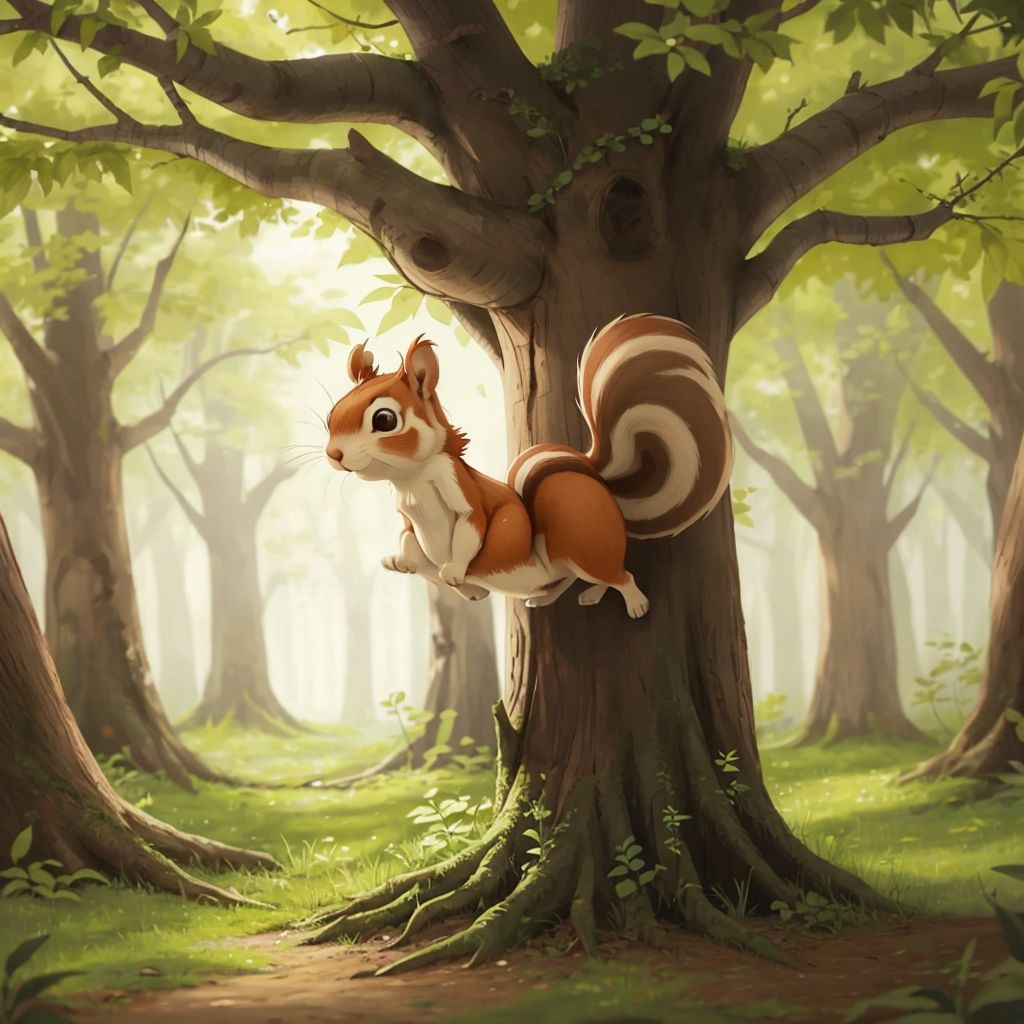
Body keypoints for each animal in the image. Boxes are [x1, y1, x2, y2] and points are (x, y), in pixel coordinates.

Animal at [324, 314, 734, 618]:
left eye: (384, 420)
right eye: (333, 412)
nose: (334, 455)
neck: (412, 480)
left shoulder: (462, 491)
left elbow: (474, 528)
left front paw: (456, 570)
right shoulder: (409, 523)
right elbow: (411, 545)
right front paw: (405, 563)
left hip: (582, 545)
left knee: (620, 573)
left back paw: (635, 604)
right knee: (569, 578)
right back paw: (553, 597)